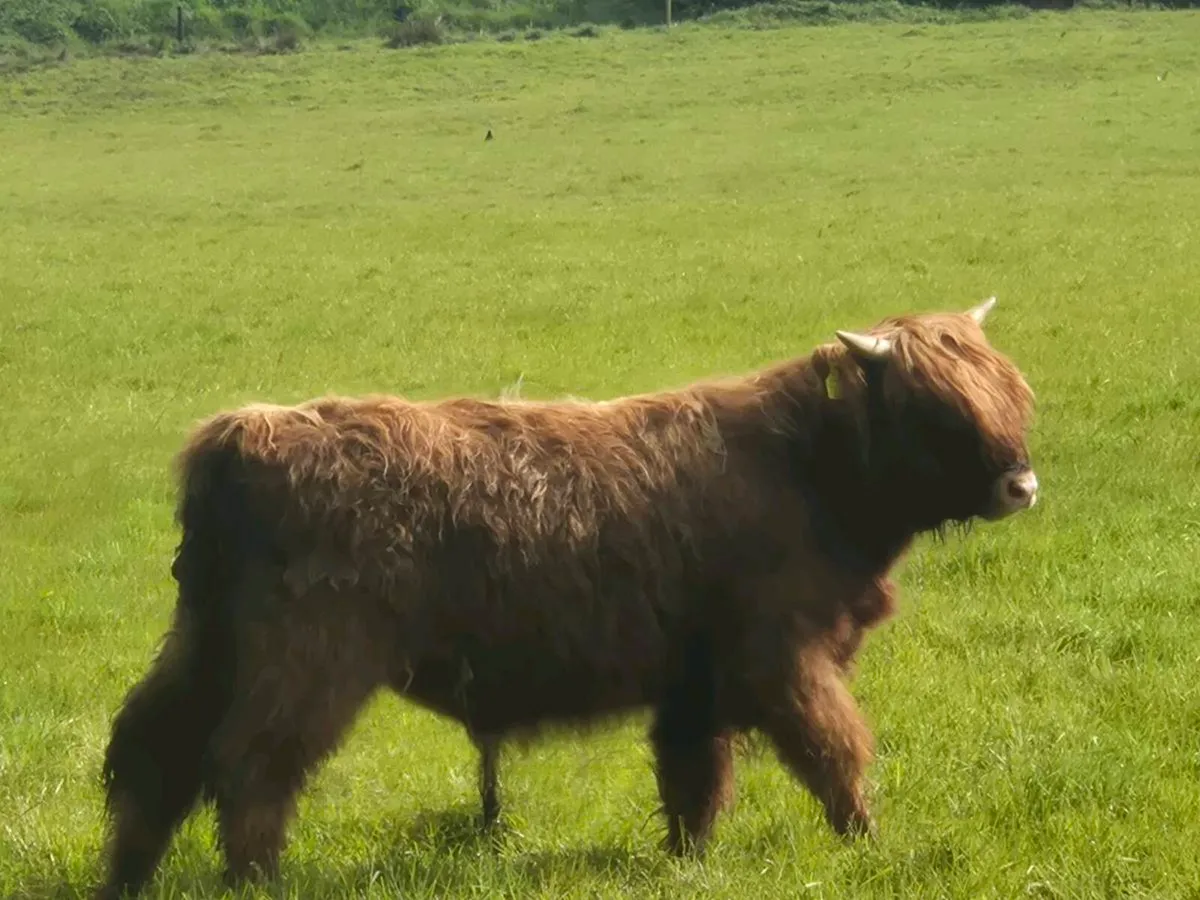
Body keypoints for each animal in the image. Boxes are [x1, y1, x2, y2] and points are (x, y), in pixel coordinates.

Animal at [94, 297, 1038, 899]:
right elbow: (835, 752)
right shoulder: (785, 657)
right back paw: (258, 881)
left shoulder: (695, 677)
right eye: (940, 410)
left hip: (210, 640)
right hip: (309, 659)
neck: (805, 465)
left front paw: (688, 862)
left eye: (1012, 391)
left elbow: (694, 774)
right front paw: (867, 843)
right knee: (250, 764)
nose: (1022, 485)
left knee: (155, 748)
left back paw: (127, 876)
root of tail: (247, 430)